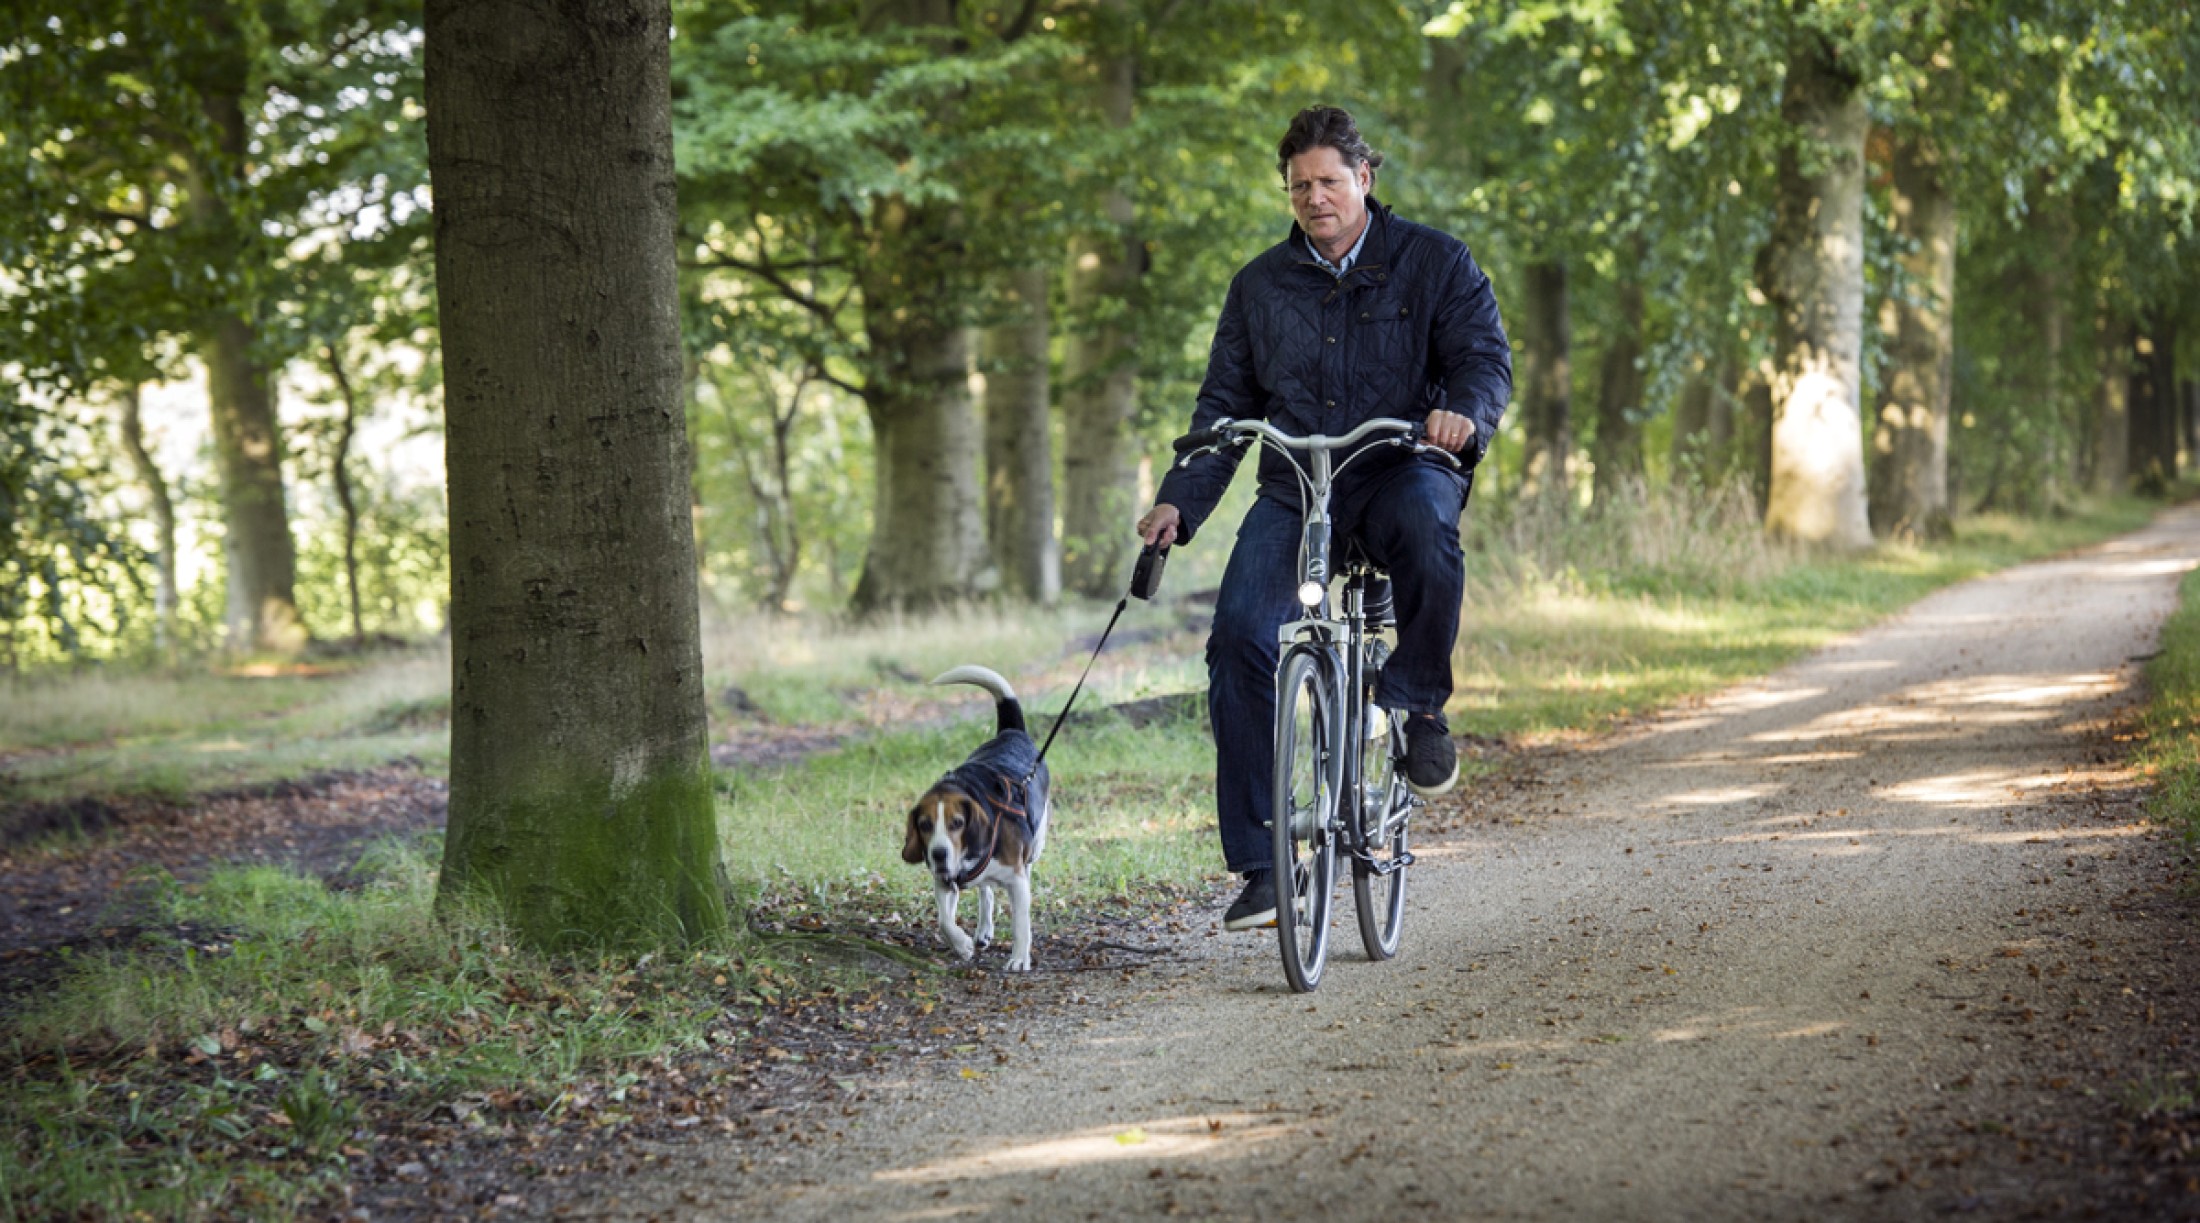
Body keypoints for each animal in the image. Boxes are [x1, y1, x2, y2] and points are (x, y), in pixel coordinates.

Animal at [902, 664, 1056, 967]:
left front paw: (1019, 959)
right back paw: (983, 930)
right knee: (986, 891)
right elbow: (944, 921)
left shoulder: (1016, 881)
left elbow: (1021, 924)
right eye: (924, 825)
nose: (938, 854)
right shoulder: (945, 880)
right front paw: (961, 944)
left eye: (957, 823)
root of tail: (1011, 733)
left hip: (1035, 846)